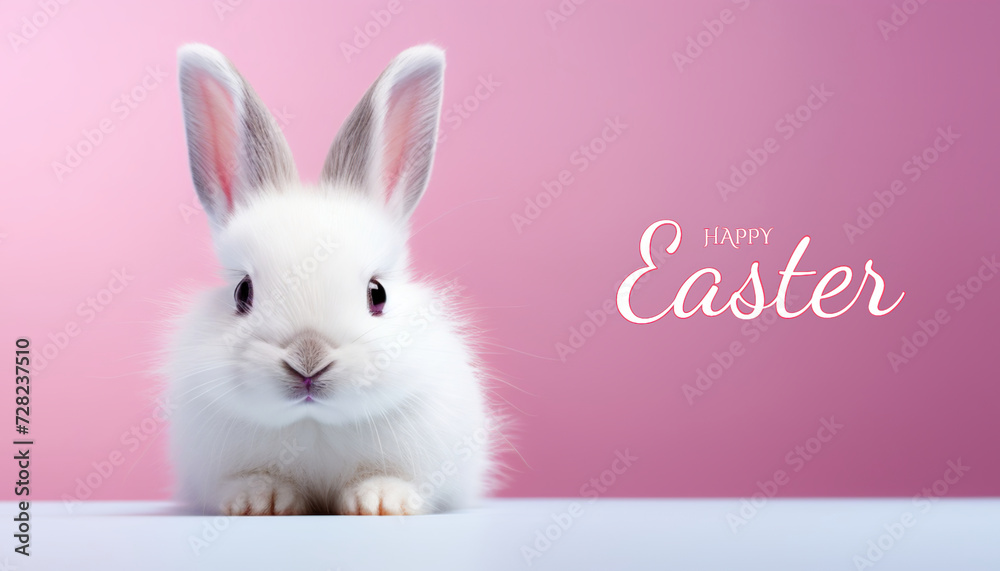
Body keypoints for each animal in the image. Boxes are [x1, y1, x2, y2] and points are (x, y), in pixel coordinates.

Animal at [163, 43, 501, 516]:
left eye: (377, 293)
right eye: (242, 292)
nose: (308, 359)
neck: (314, 424)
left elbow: (391, 478)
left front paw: (382, 502)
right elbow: (252, 481)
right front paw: (258, 502)